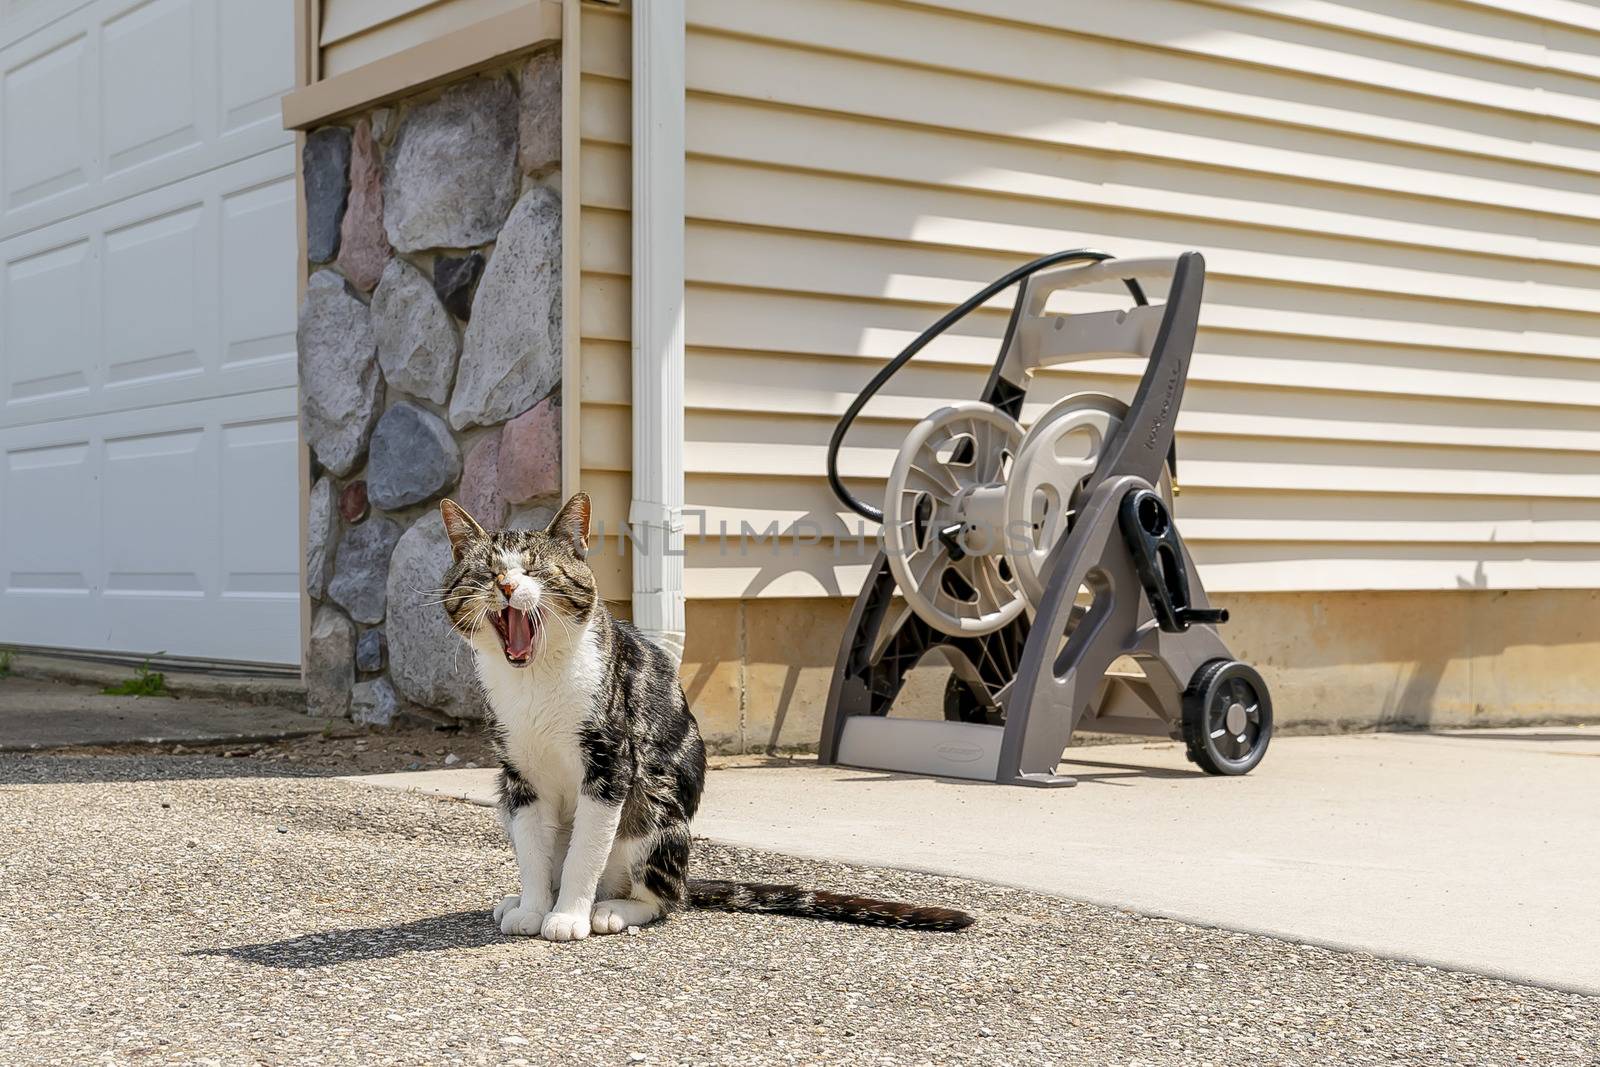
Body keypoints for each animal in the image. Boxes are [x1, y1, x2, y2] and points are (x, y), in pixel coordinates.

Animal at [432, 492, 972, 940]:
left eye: (537, 571)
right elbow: (532, 848)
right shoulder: (517, 774)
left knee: (663, 897)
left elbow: (587, 848)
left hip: (654, 805)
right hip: (509, 799)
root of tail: (687, 877)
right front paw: (533, 908)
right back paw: (526, 901)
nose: (506, 586)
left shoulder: (612, 761)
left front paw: (567, 917)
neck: (535, 680)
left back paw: (612, 909)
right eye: (485, 573)